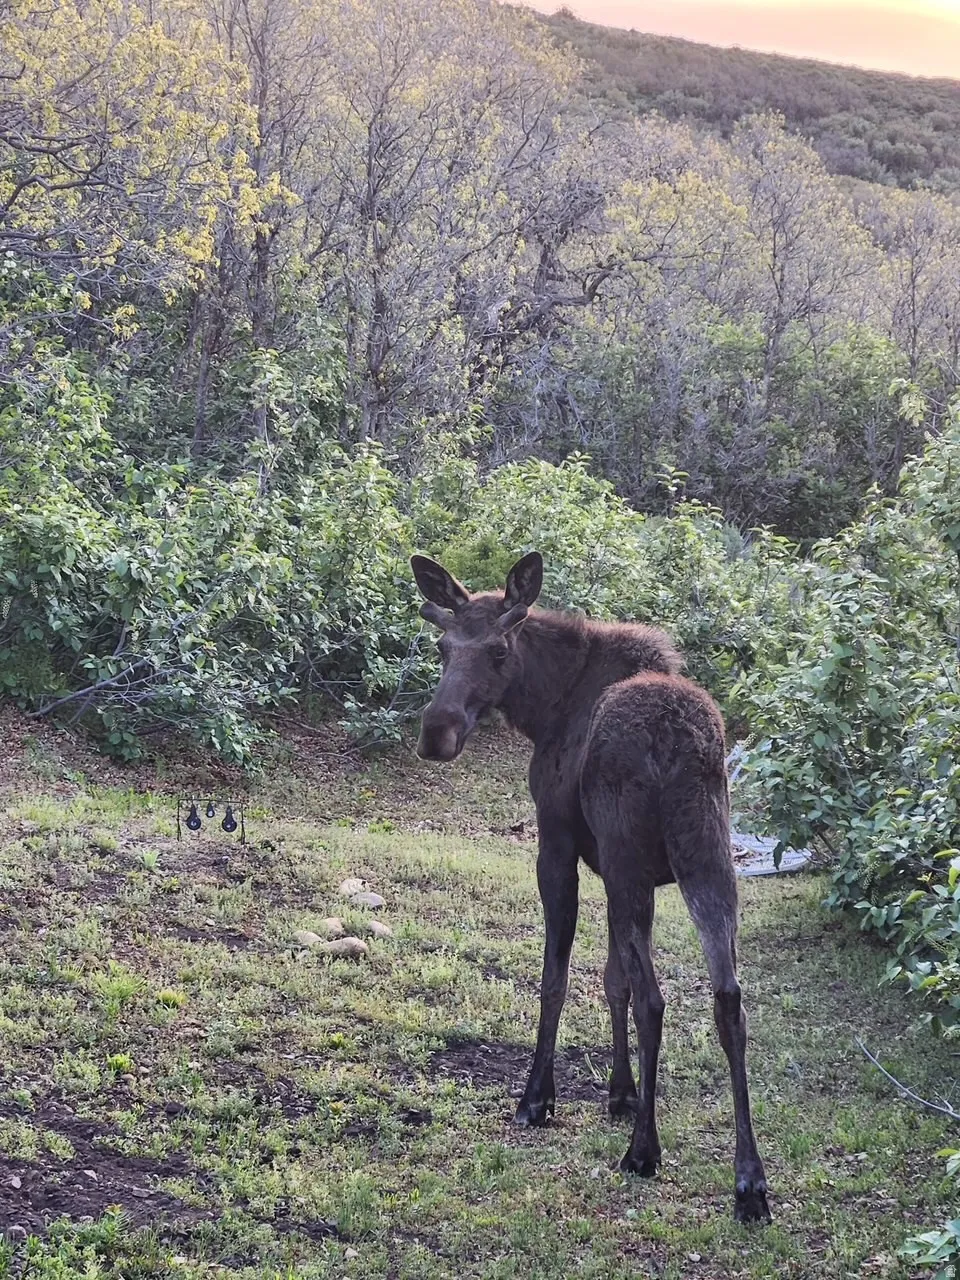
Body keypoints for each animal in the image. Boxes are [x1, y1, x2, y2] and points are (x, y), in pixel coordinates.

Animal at [410, 549, 770, 1224]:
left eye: (499, 649)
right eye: (443, 646)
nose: (436, 733)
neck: (546, 709)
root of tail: (677, 742)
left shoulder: (558, 843)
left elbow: (558, 976)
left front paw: (537, 1098)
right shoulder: (617, 869)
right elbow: (612, 980)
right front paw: (622, 1093)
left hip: (634, 856)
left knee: (658, 1000)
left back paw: (645, 1152)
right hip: (708, 859)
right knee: (729, 999)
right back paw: (750, 1182)